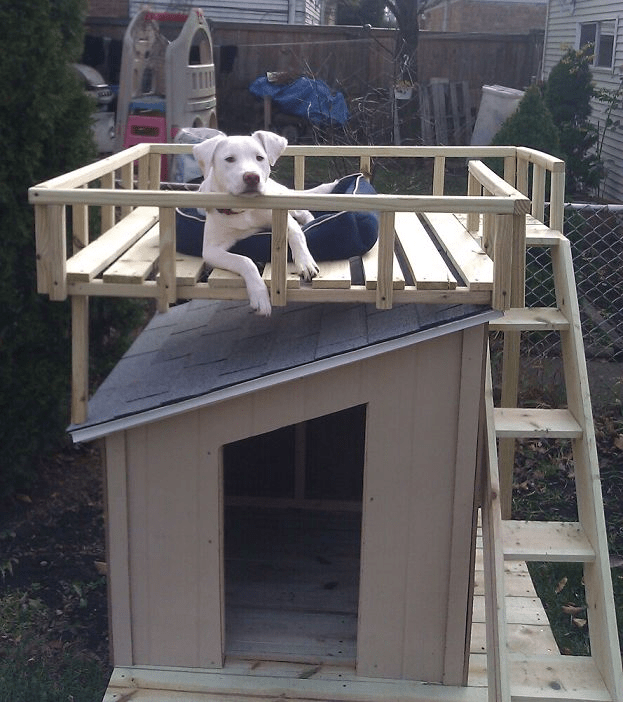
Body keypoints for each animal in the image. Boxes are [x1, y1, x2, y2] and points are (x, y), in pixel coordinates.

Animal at [194, 131, 332, 318]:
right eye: (229, 159)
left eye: (260, 157)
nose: (252, 177)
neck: (244, 210)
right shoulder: (211, 251)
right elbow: (244, 261)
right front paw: (260, 296)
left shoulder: (283, 216)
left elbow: (297, 233)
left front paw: (305, 262)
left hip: (285, 199)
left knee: (303, 212)